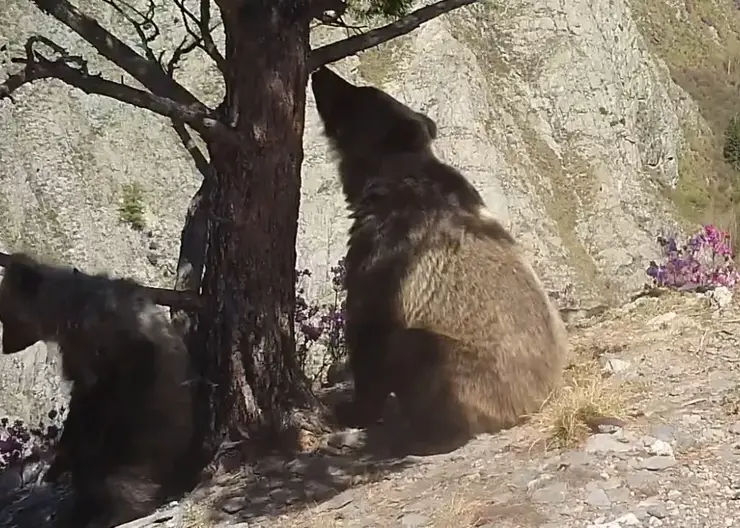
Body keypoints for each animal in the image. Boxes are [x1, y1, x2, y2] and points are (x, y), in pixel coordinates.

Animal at [0, 252, 194, 528]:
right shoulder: (76, 357)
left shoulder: (117, 343)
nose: (5, 346)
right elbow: (81, 401)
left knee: (121, 477)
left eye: (5, 315)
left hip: (149, 446)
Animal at [310, 66, 568, 454]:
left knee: (419, 355)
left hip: (469, 370)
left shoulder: (390, 252)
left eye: (357, 95)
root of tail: (538, 401)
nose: (319, 72)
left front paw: (351, 411)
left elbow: (367, 328)